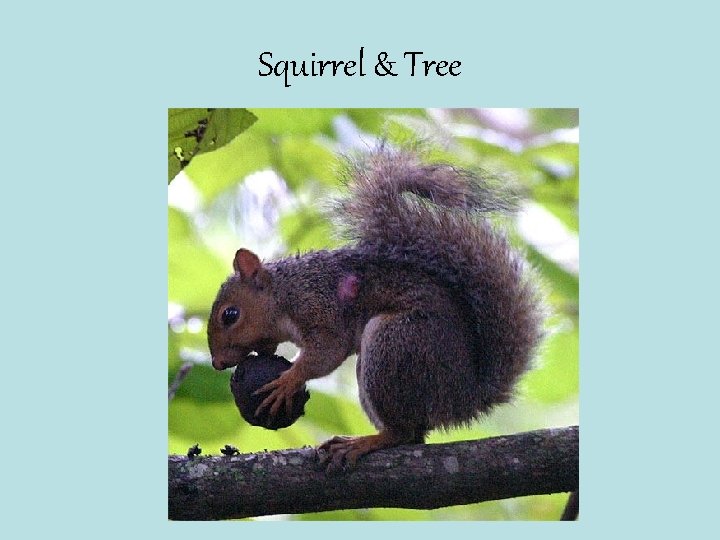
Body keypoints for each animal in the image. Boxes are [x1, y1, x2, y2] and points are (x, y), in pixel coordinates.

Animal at [207, 148, 545, 470]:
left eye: (230, 315)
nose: (217, 363)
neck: (286, 292)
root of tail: (463, 398)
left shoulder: (319, 306)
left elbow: (327, 352)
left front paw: (289, 379)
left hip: (396, 344)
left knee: (403, 432)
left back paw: (364, 442)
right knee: (414, 435)